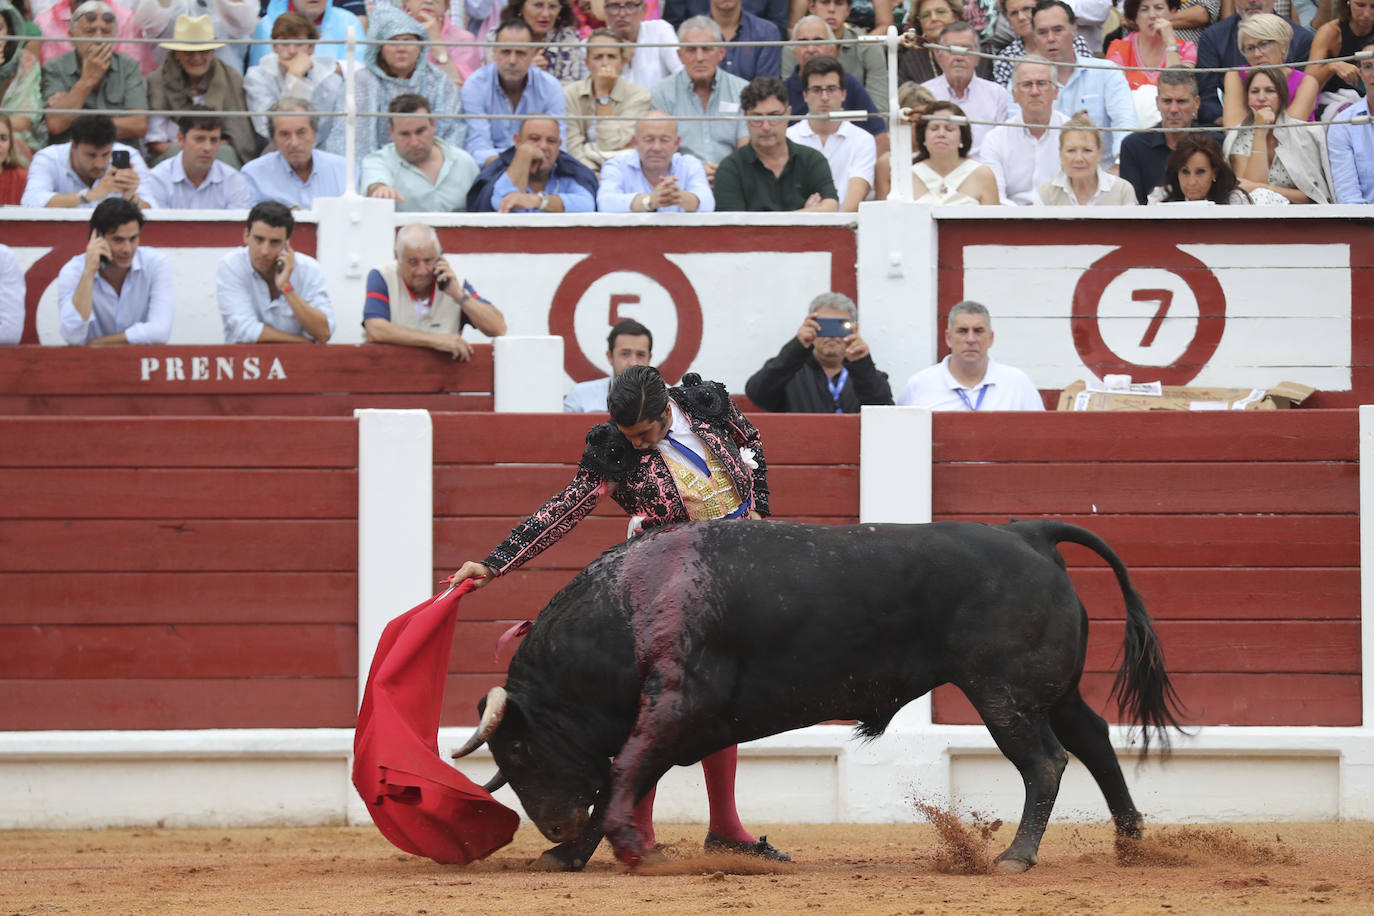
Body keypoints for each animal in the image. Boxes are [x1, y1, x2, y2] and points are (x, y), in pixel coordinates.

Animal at [456, 519, 1187, 873]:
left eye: (519, 751)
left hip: (1003, 693)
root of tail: (1027, 532)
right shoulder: (673, 720)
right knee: (1092, 738)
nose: (552, 825)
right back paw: (1130, 842)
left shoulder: (676, 705)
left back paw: (1015, 856)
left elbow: (622, 772)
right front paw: (569, 855)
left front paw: (633, 853)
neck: (629, 608)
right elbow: (620, 778)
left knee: (1045, 761)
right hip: (1047, 692)